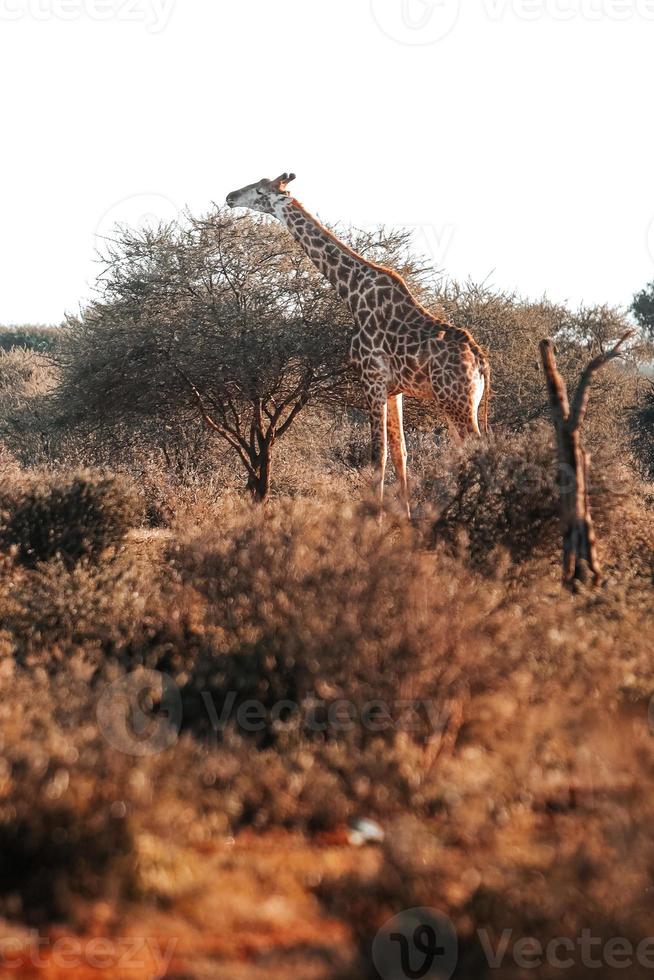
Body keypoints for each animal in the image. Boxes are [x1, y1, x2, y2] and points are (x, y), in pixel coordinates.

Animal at [228, 173, 490, 520]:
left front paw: (375, 521)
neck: (352, 292)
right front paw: (405, 520)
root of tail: (480, 359)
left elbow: (377, 456)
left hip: (457, 400)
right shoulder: (395, 390)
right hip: (457, 402)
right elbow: (400, 452)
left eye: (259, 191)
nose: (230, 196)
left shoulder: (371, 379)